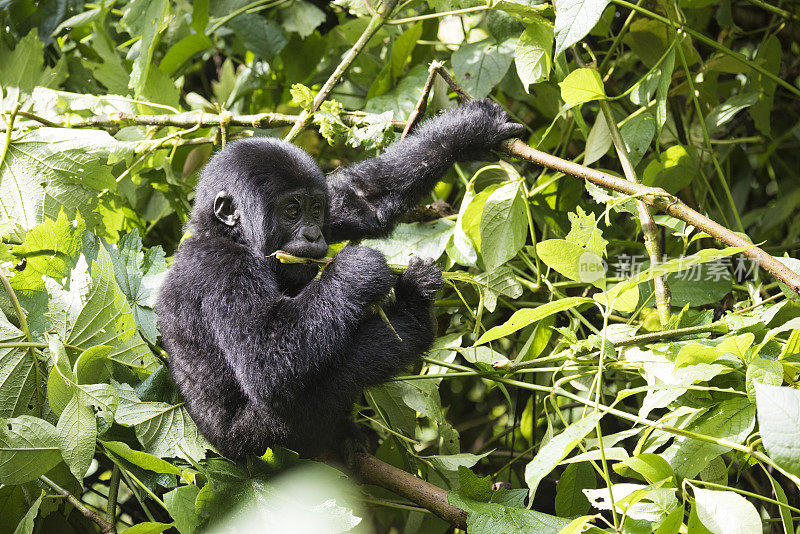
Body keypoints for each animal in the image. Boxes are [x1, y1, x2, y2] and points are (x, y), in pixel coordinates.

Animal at [158, 99, 524, 460]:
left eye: (317, 209)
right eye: (292, 211)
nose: (313, 234)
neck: (224, 233)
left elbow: (362, 197)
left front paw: (468, 130)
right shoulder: (224, 267)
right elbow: (264, 361)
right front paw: (358, 270)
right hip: (257, 443)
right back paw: (412, 312)